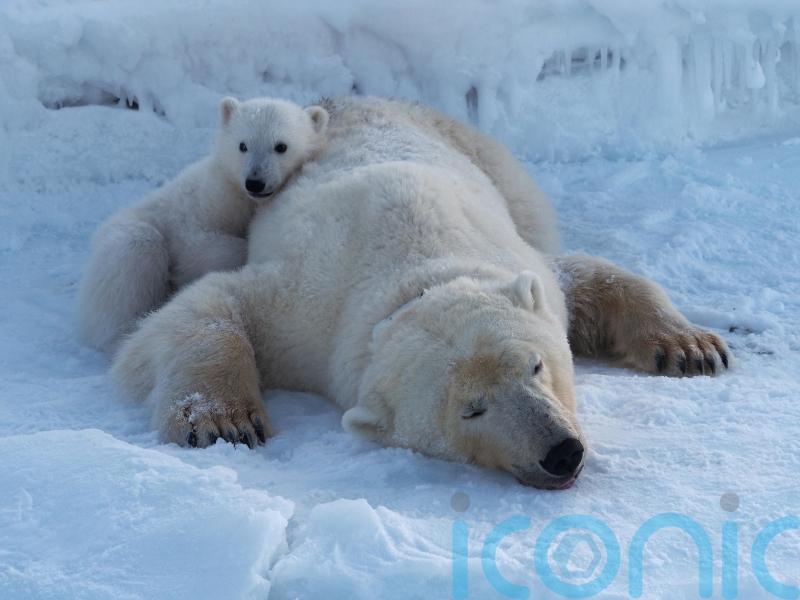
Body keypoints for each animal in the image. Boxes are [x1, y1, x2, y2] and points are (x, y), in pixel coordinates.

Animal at [76, 96, 329, 352]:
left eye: (281, 146)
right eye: (242, 145)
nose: (255, 182)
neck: (238, 195)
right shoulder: (200, 206)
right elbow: (197, 246)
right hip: (125, 237)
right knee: (135, 254)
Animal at [111, 96, 729, 489]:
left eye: (535, 365)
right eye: (471, 410)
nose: (561, 453)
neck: (415, 268)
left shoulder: (512, 256)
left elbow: (586, 278)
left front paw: (691, 348)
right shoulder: (309, 310)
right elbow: (211, 305)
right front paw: (224, 422)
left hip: (491, 161)